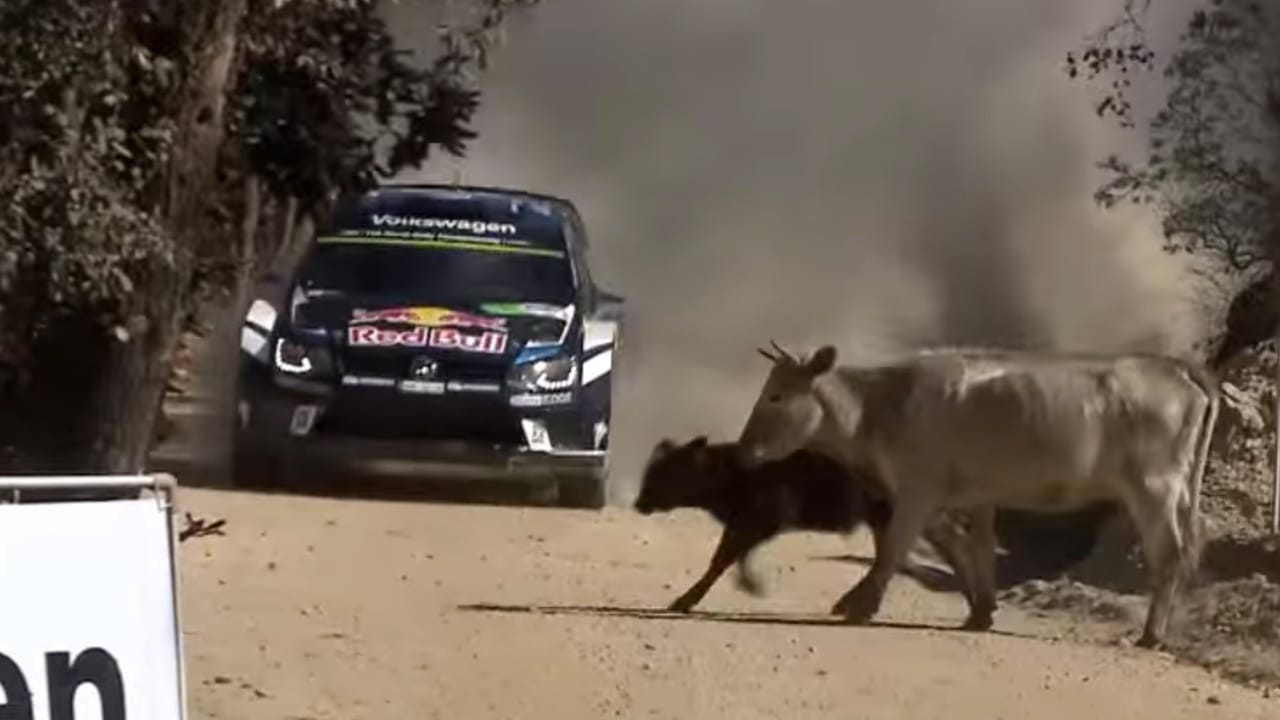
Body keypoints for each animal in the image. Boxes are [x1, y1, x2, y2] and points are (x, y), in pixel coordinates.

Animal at [633, 435, 988, 622]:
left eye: (667, 473)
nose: (639, 503)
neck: (734, 471)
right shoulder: (743, 523)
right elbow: (722, 559)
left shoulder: (760, 521)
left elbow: (727, 559)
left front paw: (748, 586)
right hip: (883, 518)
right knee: (892, 556)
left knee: (951, 546)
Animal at [734, 342, 1220, 649]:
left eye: (776, 396)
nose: (743, 449)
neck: (880, 408)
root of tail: (1173, 365)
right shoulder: (973, 494)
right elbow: (972, 548)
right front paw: (980, 609)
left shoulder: (918, 489)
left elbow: (895, 547)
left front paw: (859, 604)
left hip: (1154, 487)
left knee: (1169, 554)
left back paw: (1151, 635)